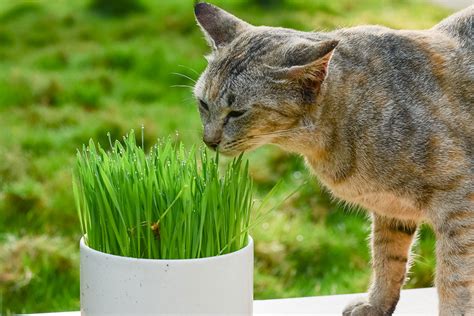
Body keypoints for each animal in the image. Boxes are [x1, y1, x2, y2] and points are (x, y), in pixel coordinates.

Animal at [192, 3, 470, 316]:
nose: (209, 141)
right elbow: (387, 259)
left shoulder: (459, 205)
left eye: (237, 112)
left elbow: (453, 277)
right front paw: (377, 304)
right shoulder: (392, 209)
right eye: (203, 104)